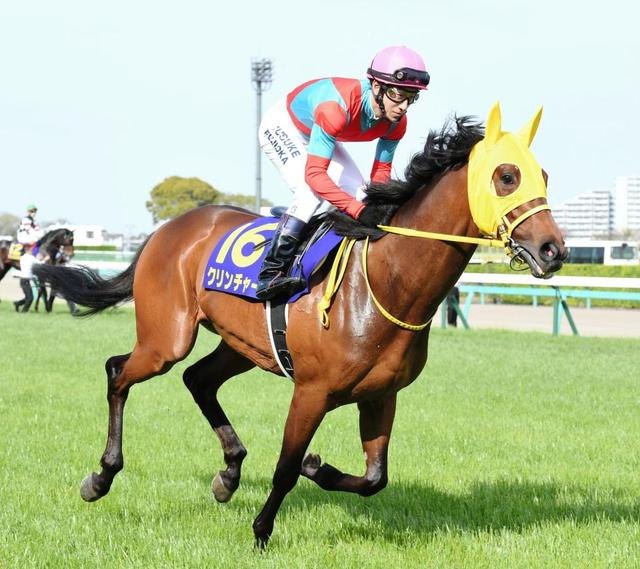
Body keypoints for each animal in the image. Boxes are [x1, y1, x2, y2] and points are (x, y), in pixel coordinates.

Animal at [34, 103, 567, 547]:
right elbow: (286, 467)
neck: (384, 279)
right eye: (506, 175)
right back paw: (100, 477)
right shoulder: (311, 391)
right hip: (167, 337)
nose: (553, 250)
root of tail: (171, 227)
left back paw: (228, 475)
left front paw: (318, 467)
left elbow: (374, 479)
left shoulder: (381, 395)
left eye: (542, 175)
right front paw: (262, 531)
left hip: (242, 345)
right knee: (118, 371)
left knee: (197, 379)